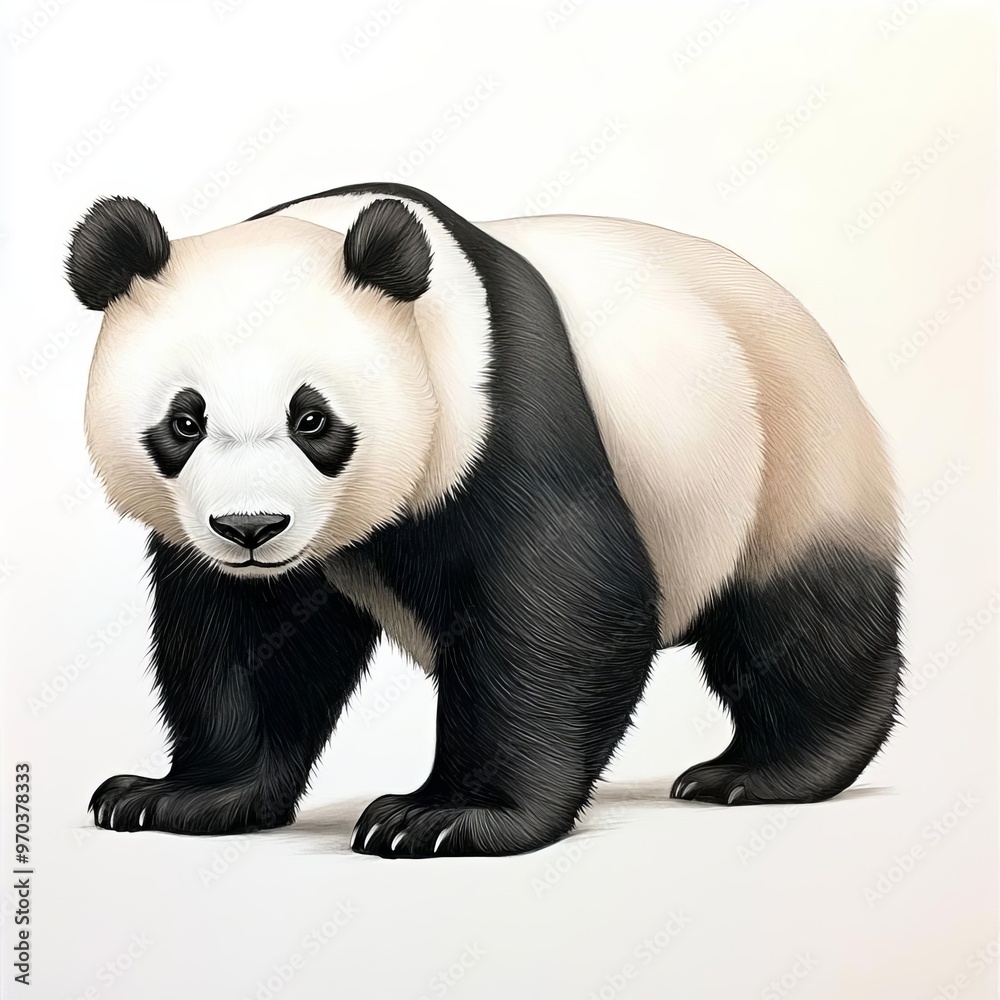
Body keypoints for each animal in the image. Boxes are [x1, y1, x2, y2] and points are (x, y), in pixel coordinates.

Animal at [66, 182, 902, 858]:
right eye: (185, 421)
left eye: (312, 418)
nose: (250, 527)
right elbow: (247, 637)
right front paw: (180, 796)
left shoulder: (505, 416)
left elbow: (561, 610)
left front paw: (444, 818)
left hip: (784, 461)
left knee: (798, 623)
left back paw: (763, 771)